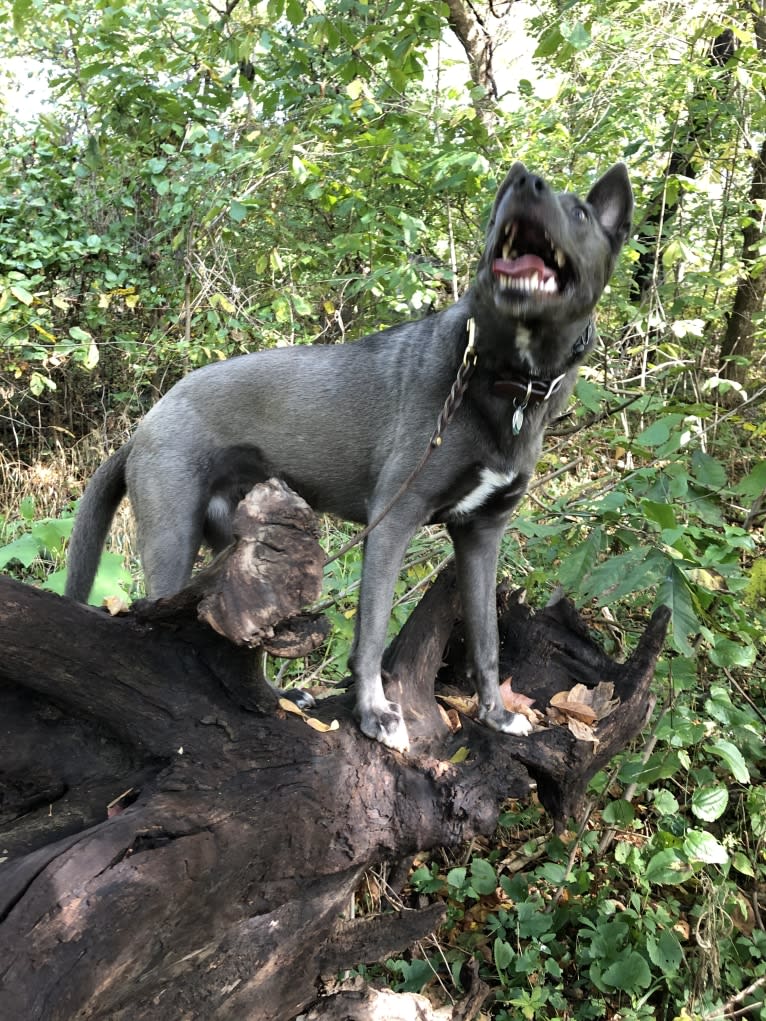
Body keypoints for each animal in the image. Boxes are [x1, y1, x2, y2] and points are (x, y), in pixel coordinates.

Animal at [65, 159, 633, 751]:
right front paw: (376, 714)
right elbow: (372, 632)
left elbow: (487, 641)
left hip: (239, 553)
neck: (507, 381)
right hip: (173, 536)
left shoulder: (481, 535)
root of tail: (146, 423)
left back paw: (279, 697)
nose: (523, 181)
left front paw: (497, 716)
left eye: (581, 213)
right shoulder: (394, 520)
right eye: (503, 198)